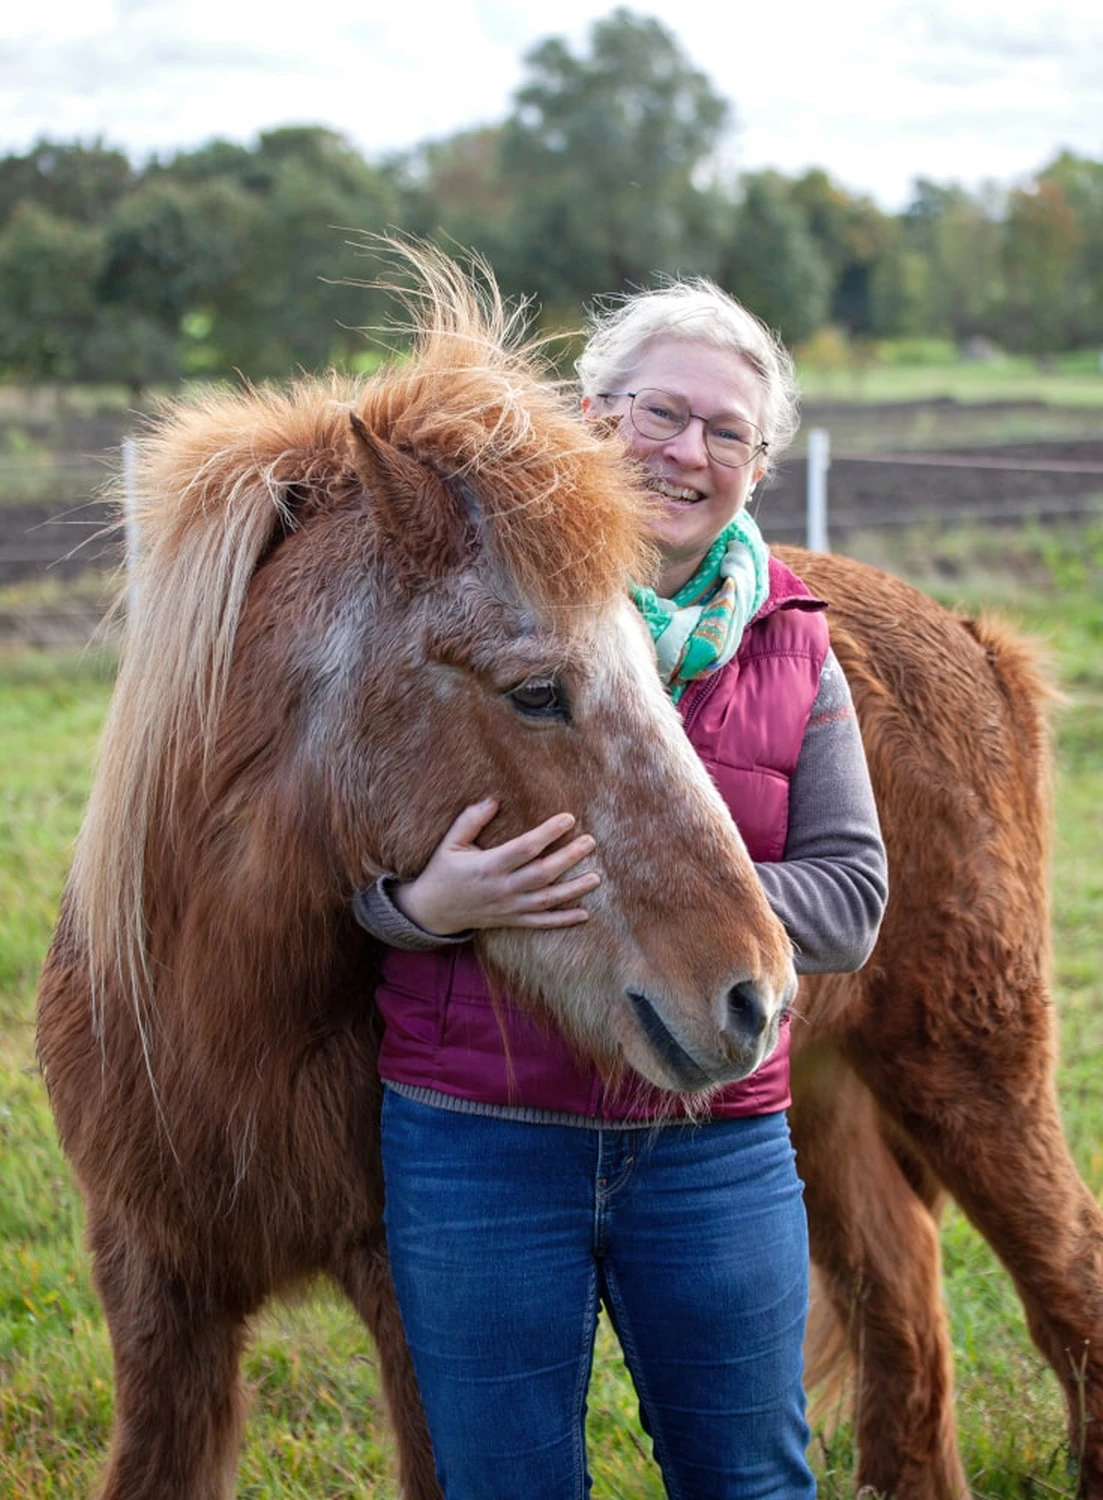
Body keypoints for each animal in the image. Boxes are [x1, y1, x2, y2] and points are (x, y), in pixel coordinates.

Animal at [34, 249, 1103, 1500]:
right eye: (537, 691)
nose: (751, 992)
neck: (207, 1028)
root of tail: (977, 643)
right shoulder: (159, 1295)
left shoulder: (407, 1305)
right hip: (828, 1108)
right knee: (899, 1304)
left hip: (971, 1071)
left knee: (1066, 1282)